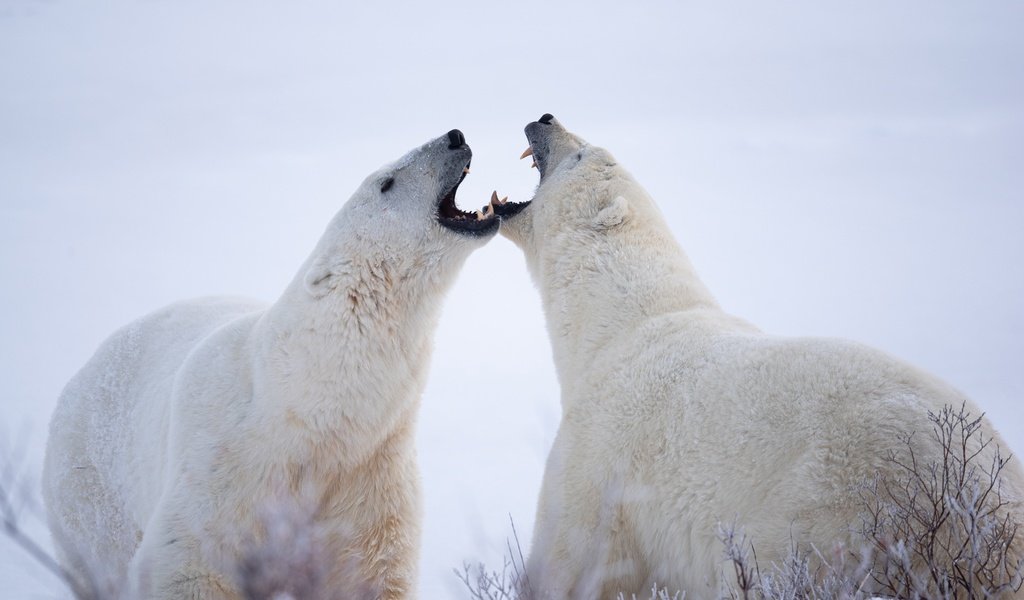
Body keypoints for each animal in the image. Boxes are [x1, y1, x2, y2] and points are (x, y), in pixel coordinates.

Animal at [44, 128, 499, 593]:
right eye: (386, 182)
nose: (455, 136)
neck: (306, 415)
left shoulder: (371, 481)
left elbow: (369, 575)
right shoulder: (219, 479)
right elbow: (190, 565)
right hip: (91, 489)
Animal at [495, 114, 1024, 593]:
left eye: (582, 154)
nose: (545, 118)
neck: (617, 323)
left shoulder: (600, 462)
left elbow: (571, 562)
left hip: (832, 515)